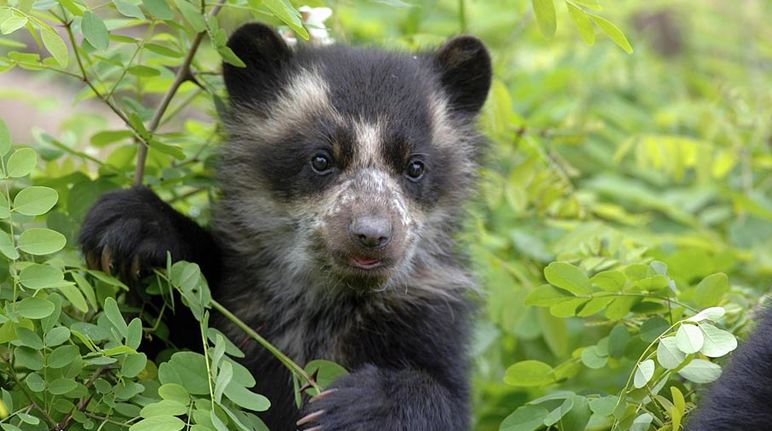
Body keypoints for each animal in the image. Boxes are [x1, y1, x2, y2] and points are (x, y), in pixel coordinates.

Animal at [78, 22, 488, 431]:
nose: (371, 235)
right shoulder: (237, 297)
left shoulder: (425, 312)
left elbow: (446, 397)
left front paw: (355, 407)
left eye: (415, 166)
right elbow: (158, 341)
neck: (321, 301)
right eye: (321, 159)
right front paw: (131, 226)